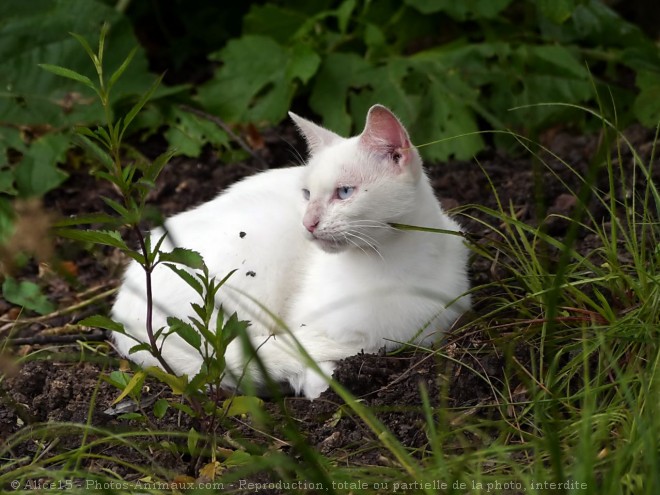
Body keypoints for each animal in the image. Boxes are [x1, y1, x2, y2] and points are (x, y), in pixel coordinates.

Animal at [112, 104, 470, 400]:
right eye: (307, 193)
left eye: (344, 192)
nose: (307, 222)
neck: (385, 265)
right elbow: (304, 365)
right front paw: (326, 381)